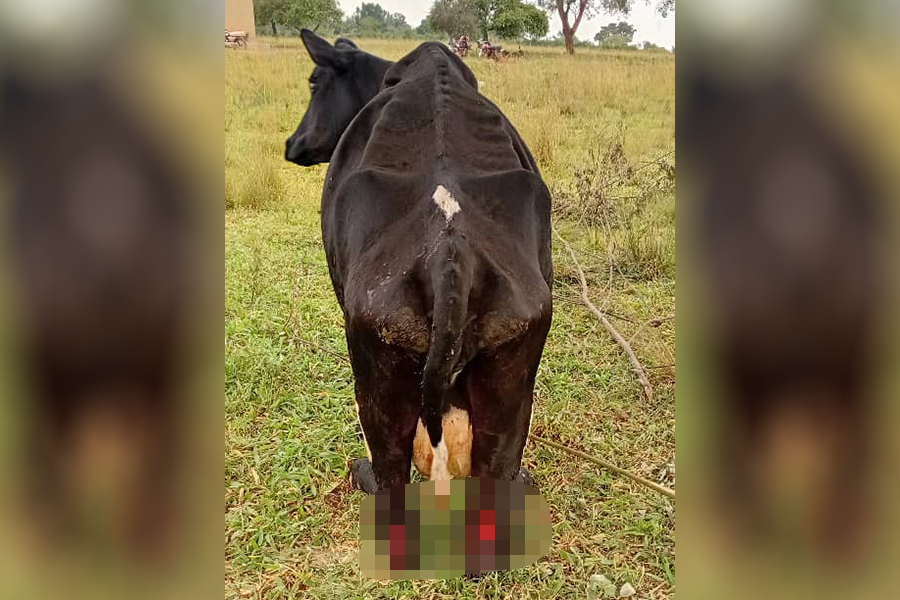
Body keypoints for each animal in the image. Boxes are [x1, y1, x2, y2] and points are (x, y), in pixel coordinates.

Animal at [285, 30, 553, 494]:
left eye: (315, 82)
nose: (291, 143)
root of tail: (451, 250)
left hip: (379, 387)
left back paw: (365, 476)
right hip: (510, 393)